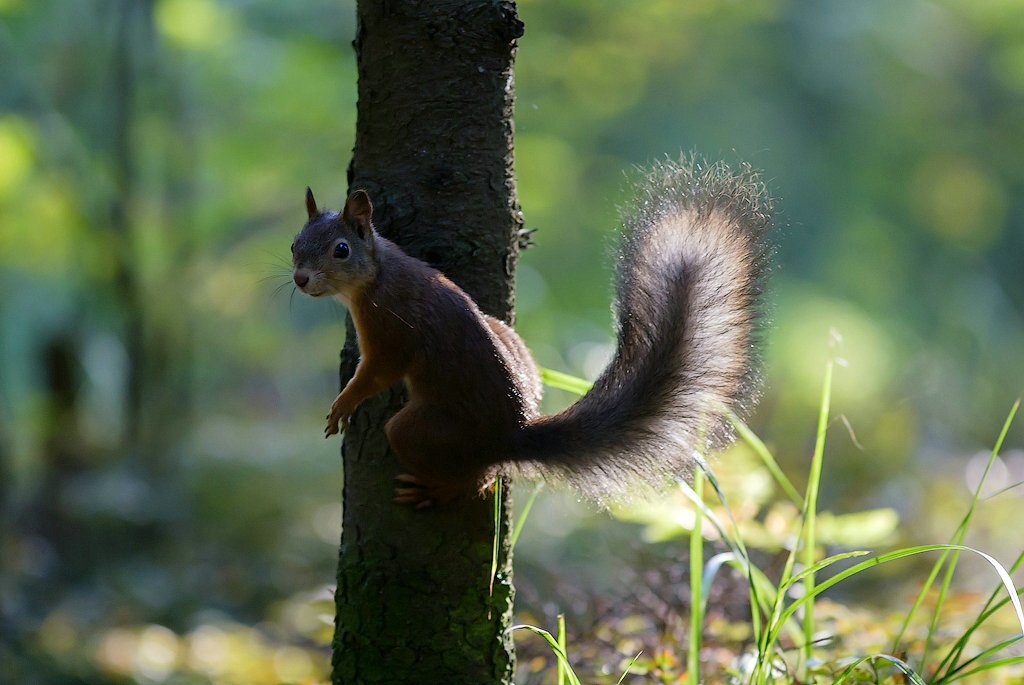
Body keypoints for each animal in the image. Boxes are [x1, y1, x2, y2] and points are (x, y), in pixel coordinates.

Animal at [288, 157, 770, 505]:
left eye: (341, 250)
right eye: (294, 244)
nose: (300, 279)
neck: (378, 273)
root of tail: (510, 436)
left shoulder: (390, 328)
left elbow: (377, 372)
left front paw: (343, 404)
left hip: (422, 430)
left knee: (471, 476)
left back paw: (445, 488)